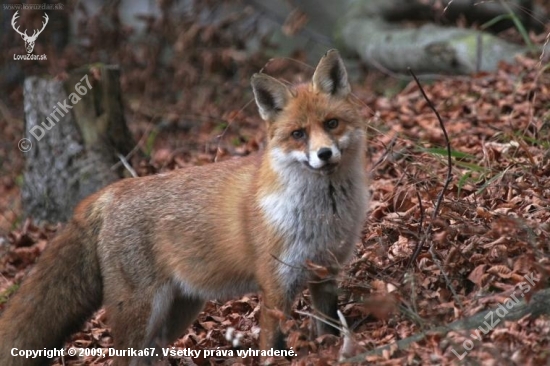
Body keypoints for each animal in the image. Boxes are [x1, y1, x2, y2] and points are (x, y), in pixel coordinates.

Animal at [1, 49, 370, 366]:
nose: (324, 154)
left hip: (179, 312)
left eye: (332, 124)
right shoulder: (276, 285)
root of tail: (110, 191)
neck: (322, 214)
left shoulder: (326, 273)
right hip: (141, 312)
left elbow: (329, 330)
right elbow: (272, 348)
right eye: (298, 134)